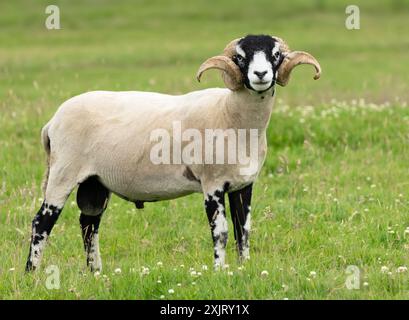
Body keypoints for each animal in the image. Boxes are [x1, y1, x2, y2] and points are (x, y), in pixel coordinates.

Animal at [25, 34, 320, 272]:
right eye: (240, 57)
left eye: (276, 55)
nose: (260, 75)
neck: (230, 115)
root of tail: (52, 123)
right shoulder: (212, 184)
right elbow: (221, 232)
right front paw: (219, 271)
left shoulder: (243, 184)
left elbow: (243, 230)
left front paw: (243, 268)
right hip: (63, 172)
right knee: (42, 222)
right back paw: (32, 273)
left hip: (94, 182)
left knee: (89, 223)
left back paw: (95, 272)